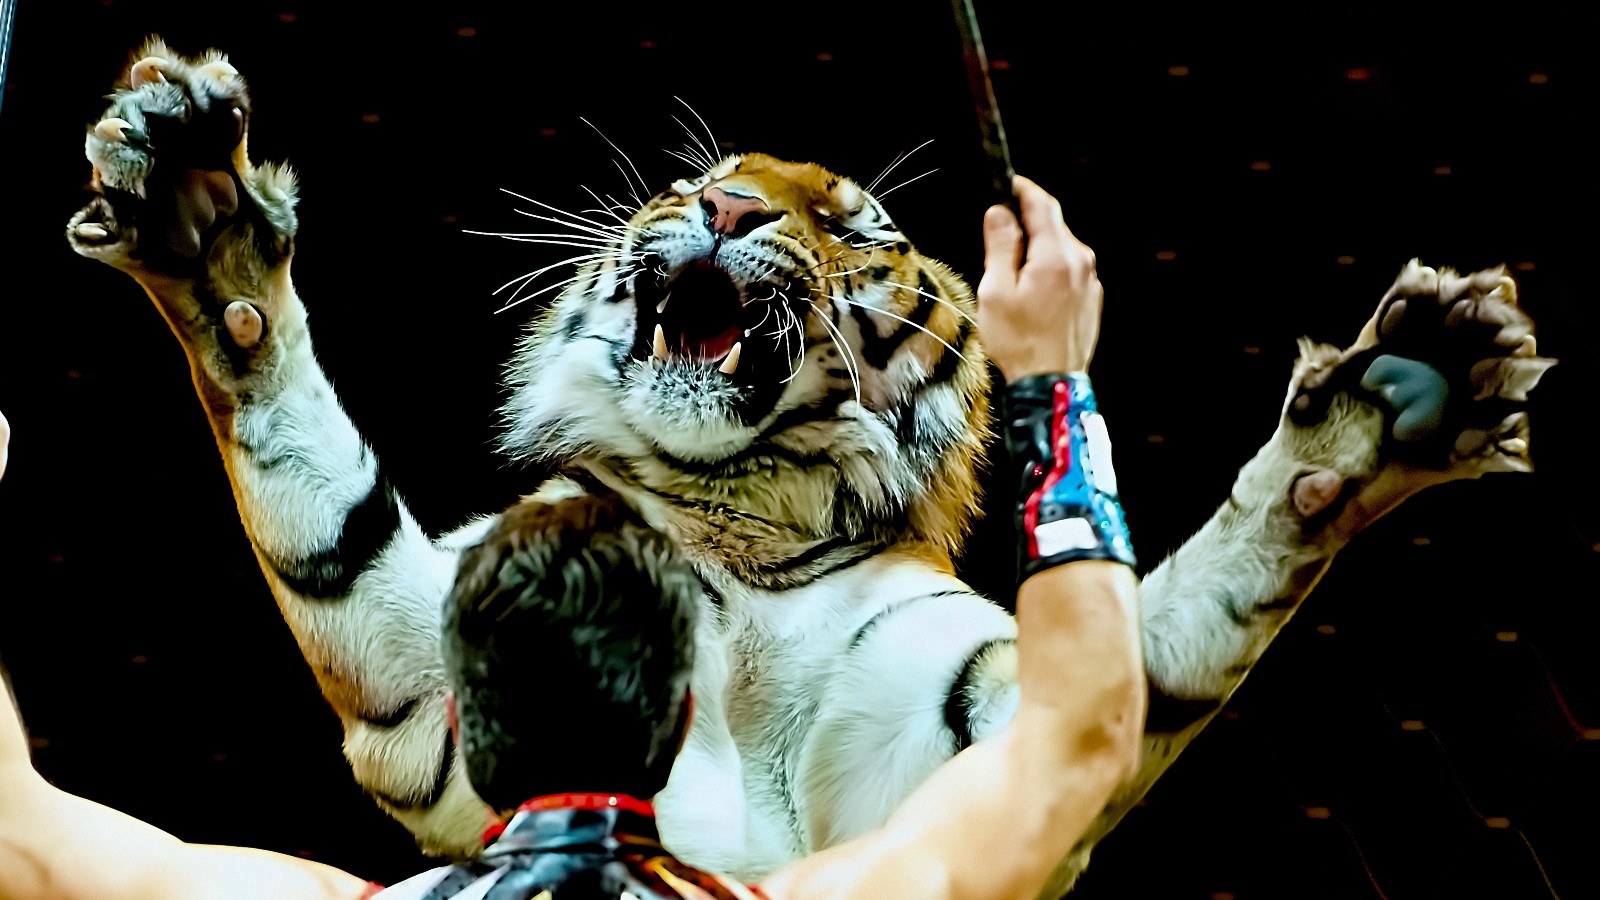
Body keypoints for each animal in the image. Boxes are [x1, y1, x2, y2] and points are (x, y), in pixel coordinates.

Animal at [65, 40, 1561, 890]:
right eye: (699, 178)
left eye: (852, 222)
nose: (725, 204)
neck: (736, 536)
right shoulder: (441, 691)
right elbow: (324, 494)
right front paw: (209, 225)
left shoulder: (980, 742)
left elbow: (1168, 630)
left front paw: (1393, 407)